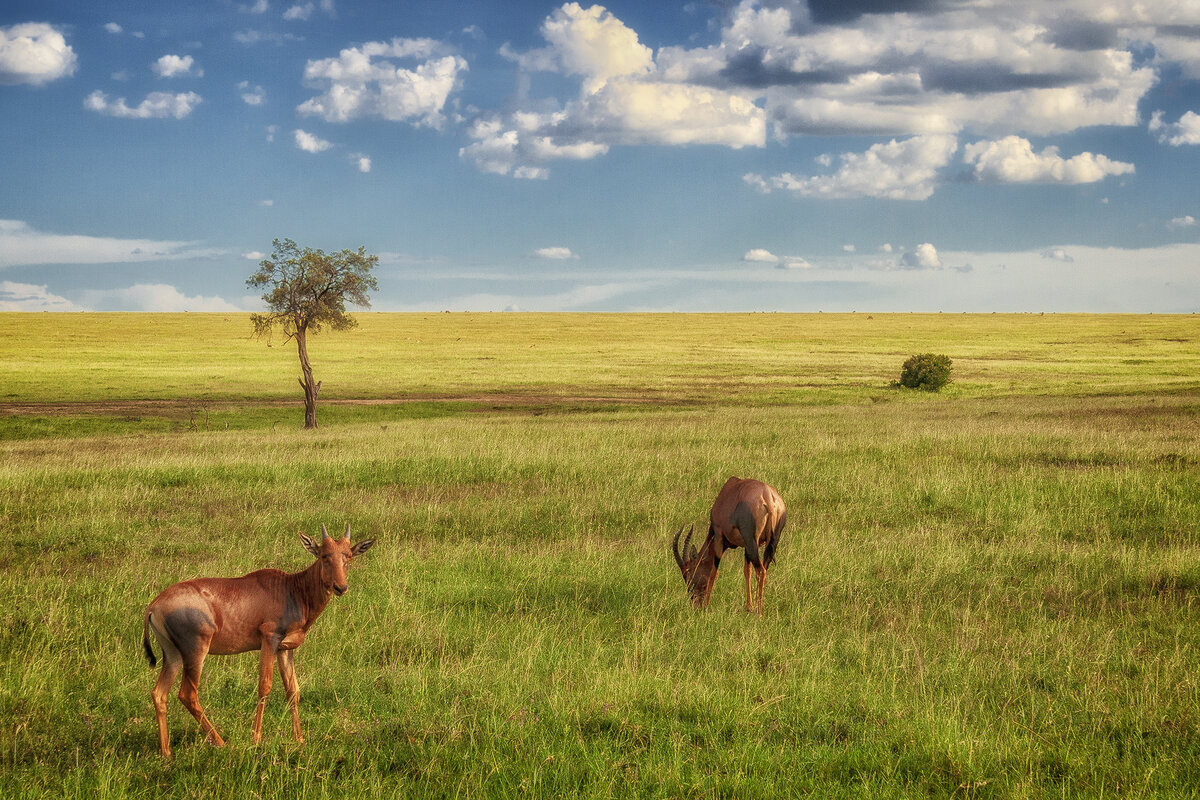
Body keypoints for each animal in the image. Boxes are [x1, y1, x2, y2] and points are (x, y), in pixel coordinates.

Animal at [137, 522, 369, 762]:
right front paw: (256, 739)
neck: (290, 588)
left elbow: (293, 691)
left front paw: (300, 740)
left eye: (348, 556)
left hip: (172, 655)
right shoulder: (269, 639)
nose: (340, 587)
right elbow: (264, 685)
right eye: (324, 555)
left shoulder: (285, 649)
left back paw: (166, 753)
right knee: (187, 694)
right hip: (195, 651)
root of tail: (153, 606)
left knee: (159, 693)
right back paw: (220, 742)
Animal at [676, 474, 787, 614]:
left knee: (760, 570)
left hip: (751, 540)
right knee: (764, 569)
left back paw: (759, 612)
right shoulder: (746, 546)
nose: (695, 603)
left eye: (688, 572)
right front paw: (748, 607)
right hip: (768, 542)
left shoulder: (719, 536)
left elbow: (714, 572)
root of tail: (768, 498)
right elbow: (747, 571)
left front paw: (707, 605)